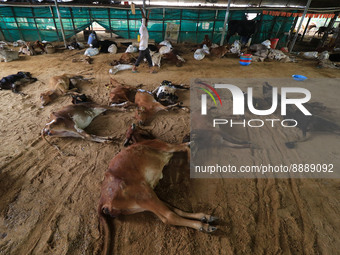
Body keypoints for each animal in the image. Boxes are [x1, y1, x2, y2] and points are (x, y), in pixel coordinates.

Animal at [97, 125, 218, 255]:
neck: (142, 141)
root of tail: (103, 201)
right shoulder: (168, 146)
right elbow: (186, 146)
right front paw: (192, 161)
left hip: (144, 199)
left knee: (174, 210)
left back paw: (205, 217)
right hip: (144, 195)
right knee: (169, 217)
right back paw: (203, 226)